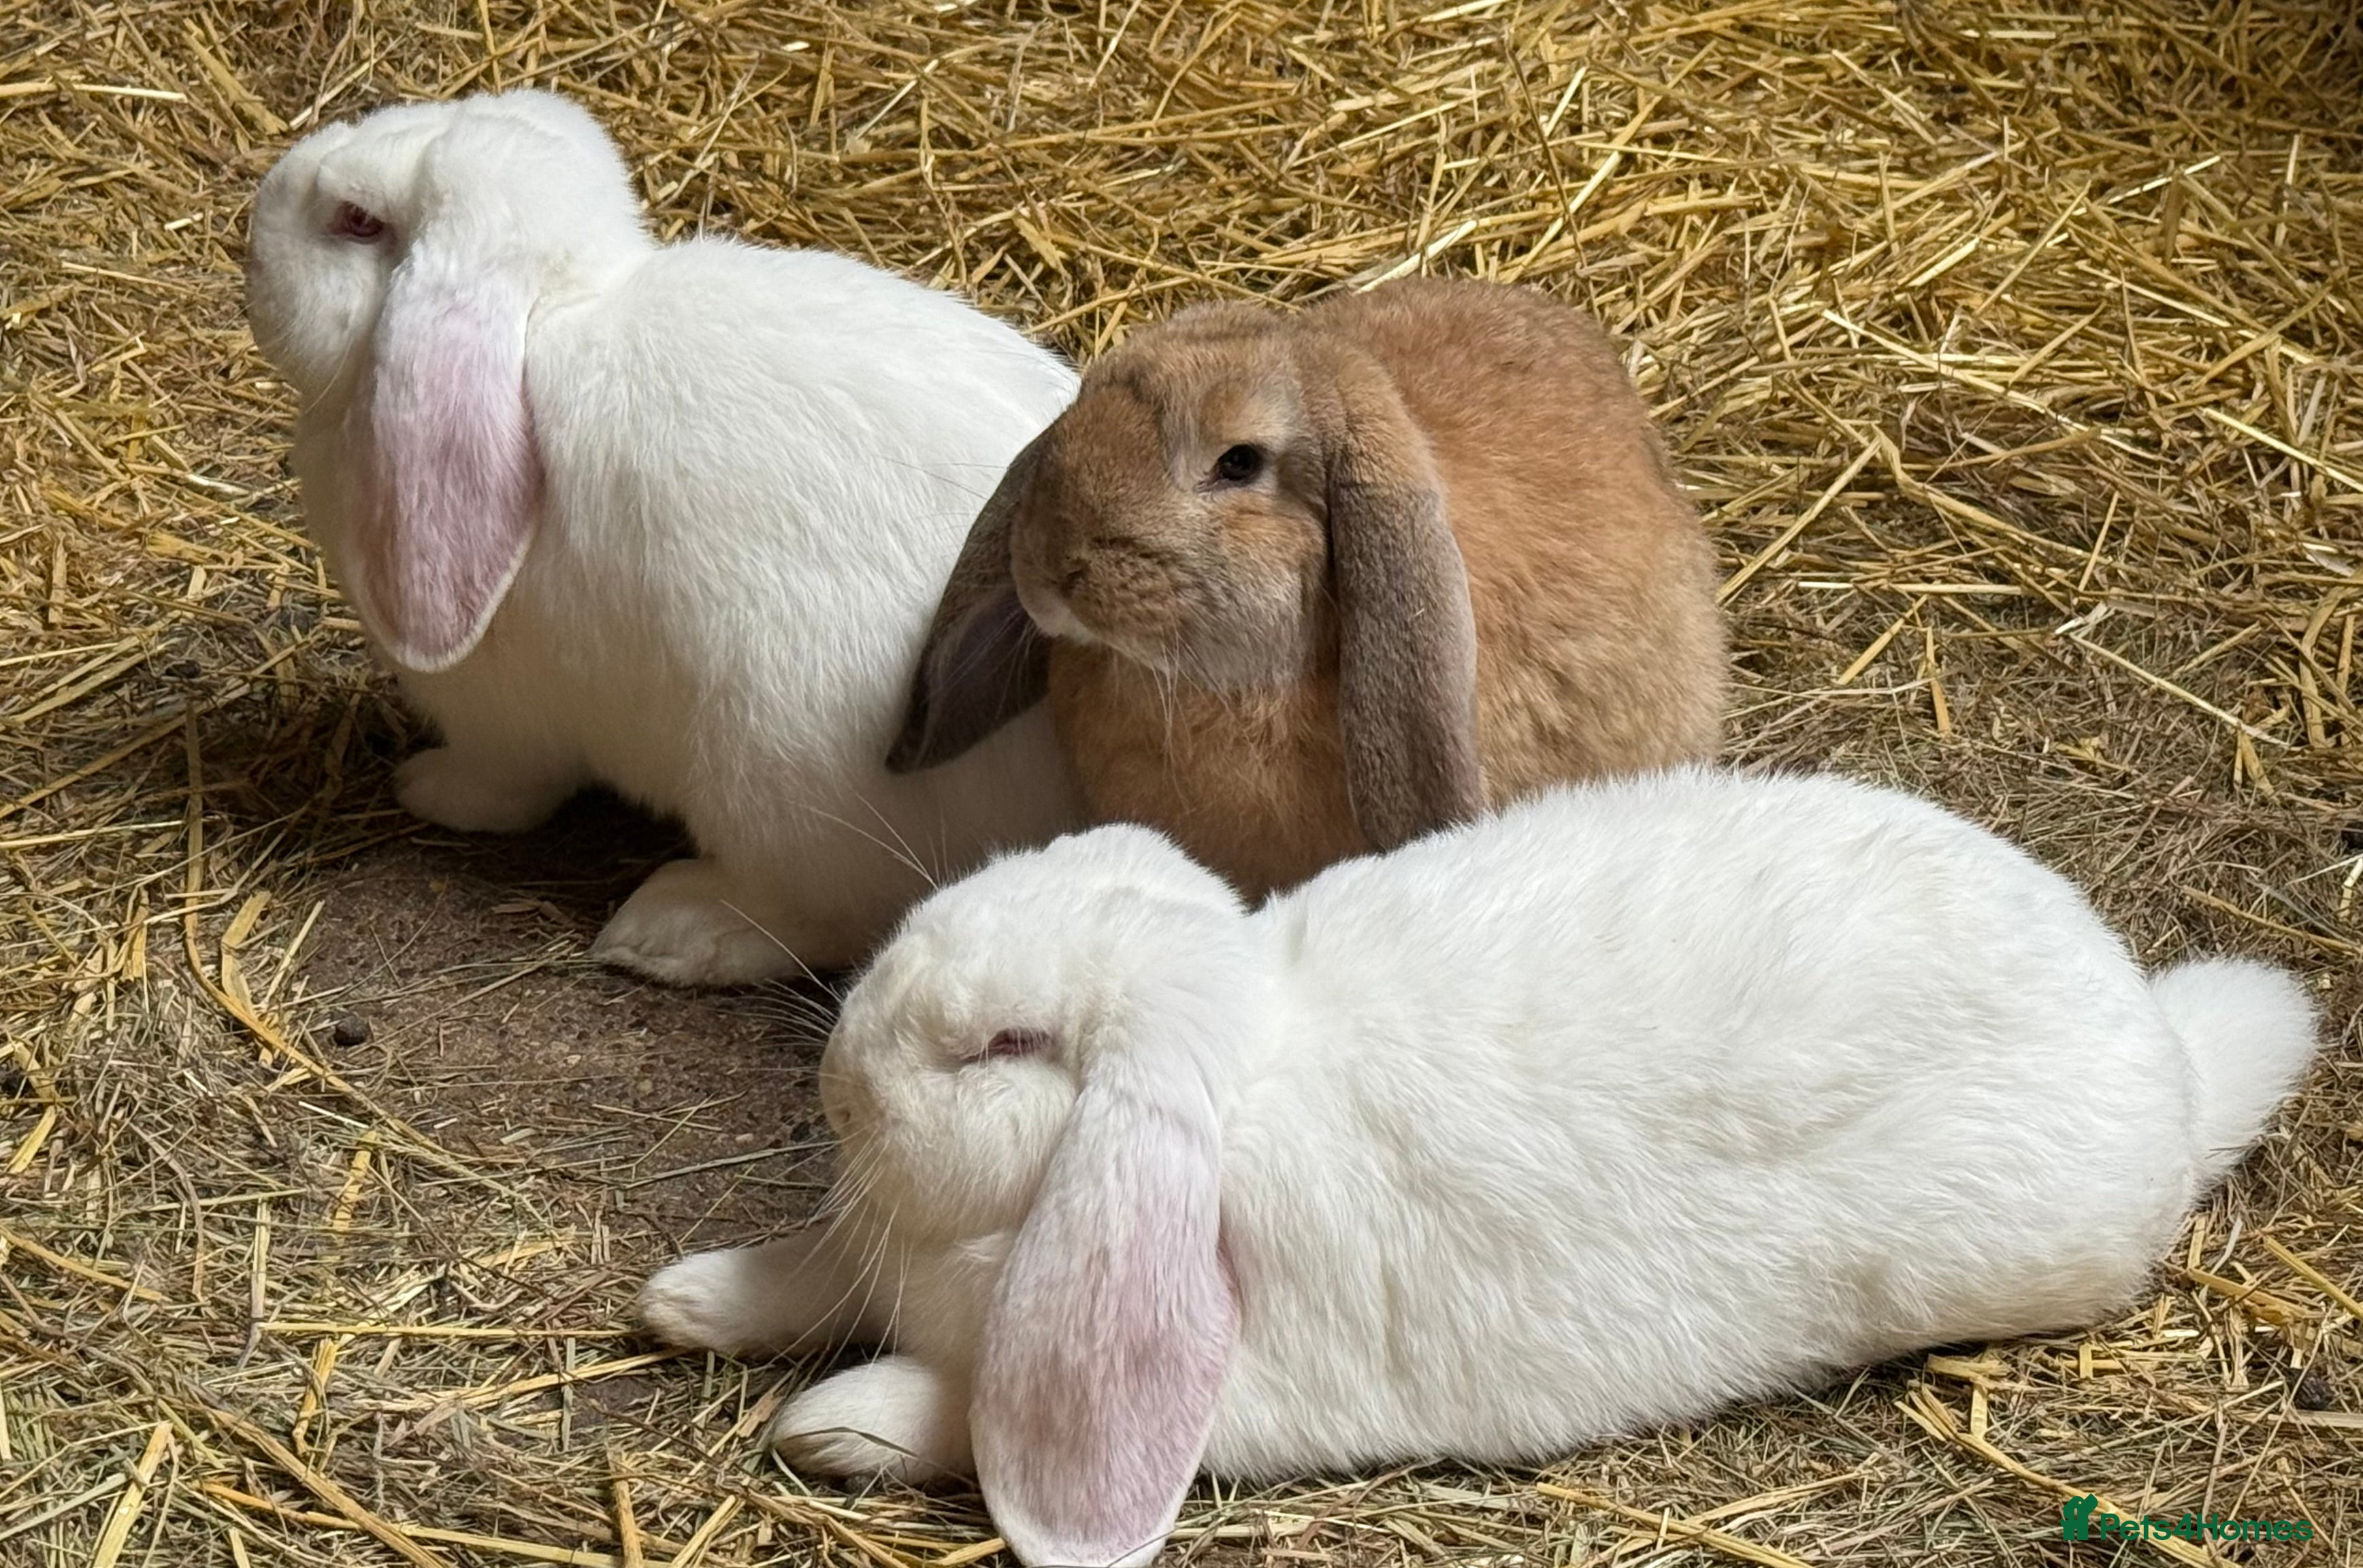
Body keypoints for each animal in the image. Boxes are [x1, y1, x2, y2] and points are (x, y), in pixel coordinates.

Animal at [244, 88, 1084, 984]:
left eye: (357, 220)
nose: (255, 228)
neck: (548, 320)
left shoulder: (498, 719)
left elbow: (502, 786)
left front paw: (423, 786)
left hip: (770, 767)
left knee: (835, 916)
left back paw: (672, 927)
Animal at [639, 765, 2319, 1568]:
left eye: (1006, 1047)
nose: (842, 1072)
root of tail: (2163, 1057)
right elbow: (804, 1272)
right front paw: (690, 1299)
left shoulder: (1205, 1391)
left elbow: (969, 1410)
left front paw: (833, 1424)